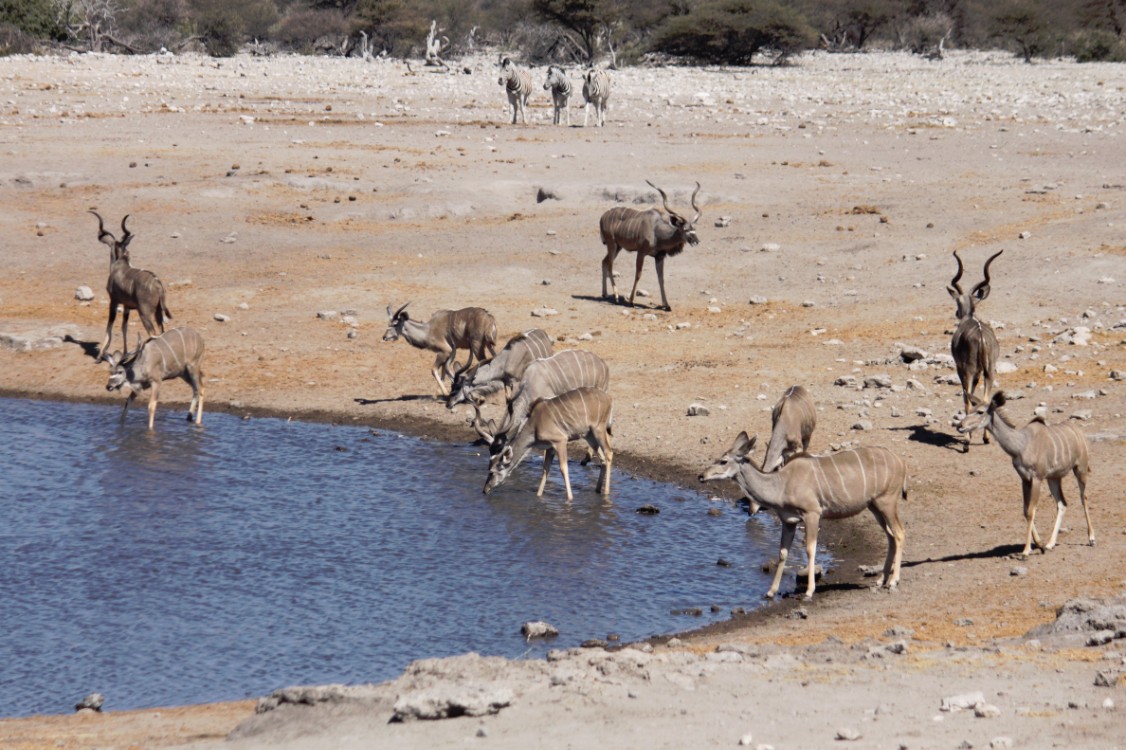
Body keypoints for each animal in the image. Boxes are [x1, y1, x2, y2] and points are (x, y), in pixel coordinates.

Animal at [90, 210, 170, 362]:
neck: (120, 265)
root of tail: (157, 284)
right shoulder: (127, 307)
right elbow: (124, 327)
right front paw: (125, 353)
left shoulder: (113, 302)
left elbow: (109, 326)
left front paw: (100, 355)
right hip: (158, 313)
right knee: (162, 331)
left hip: (144, 313)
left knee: (153, 333)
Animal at [479, 387, 612, 500]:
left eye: (491, 472)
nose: (485, 490)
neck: (535, 425)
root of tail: (608, 398)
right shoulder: (550, 447)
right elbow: (545, 469)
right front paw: (538, 496)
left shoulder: (560, 441)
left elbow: (563, 468)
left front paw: (570, 498)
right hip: (589, 435)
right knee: (602, 458)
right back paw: (597, 490)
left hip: (599, 429)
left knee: (608, 453)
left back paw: (606, 492)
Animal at [698, 432, 909, 594]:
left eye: (723, 461)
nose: (701, 476)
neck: (781, 484)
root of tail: (901, 462)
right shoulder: (789, 521)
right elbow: (783, 552)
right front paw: (771, 591)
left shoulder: (812, 514)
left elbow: (810, 549)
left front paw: (809, 590)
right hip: (874, 506)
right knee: (890, 536)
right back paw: (880, 580)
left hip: (887, 501)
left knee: (899, 533)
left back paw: (893, 581)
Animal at [945, 250, 1008, 450]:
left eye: (958, 301)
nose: (957, 313)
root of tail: (980, 335)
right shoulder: (980, 372)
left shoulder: (962, 369)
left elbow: (967, 398)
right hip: (990, 371)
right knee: (987, 400)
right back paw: (986, 438)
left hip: (968, 370)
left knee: (967, 398)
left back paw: (966, 442)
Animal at [959, 391, 1089, 554]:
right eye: (970, 410)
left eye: (980, 412)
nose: (959, 426)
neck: (1021, 445)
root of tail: (1079, 433)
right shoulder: (1025, 479)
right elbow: (1026, 511)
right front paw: (1039, 544)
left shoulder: (1037, 478)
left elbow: (1032, 511)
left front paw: (1026, 551)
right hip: (1054, 478)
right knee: (1062, 503)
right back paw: (1050, 544)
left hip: (1080, 469)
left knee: (1083, 498)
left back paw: (1091, 539)